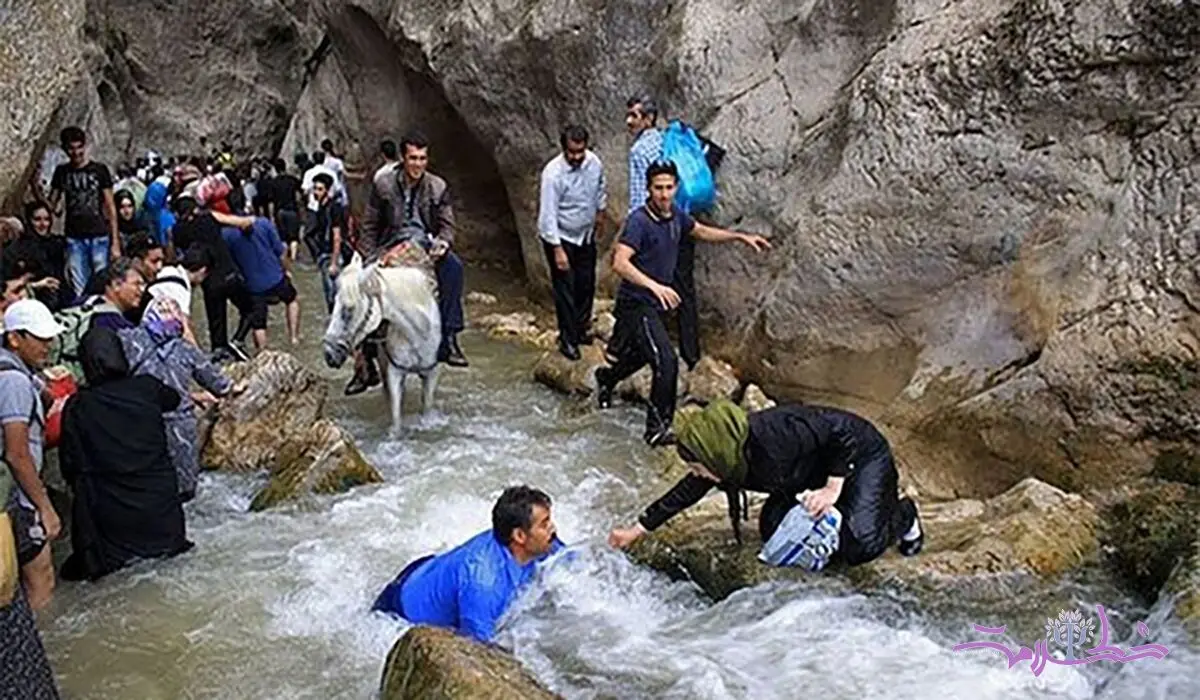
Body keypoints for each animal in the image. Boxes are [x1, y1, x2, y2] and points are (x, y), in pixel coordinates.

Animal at [324, 253, 441, 432]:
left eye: (349, 309)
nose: (329, 355)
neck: (417, 332)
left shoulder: (431, 374)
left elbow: (426, 410)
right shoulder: (394, 373)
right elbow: (396, 418)